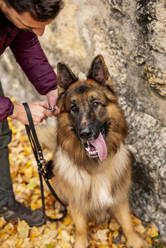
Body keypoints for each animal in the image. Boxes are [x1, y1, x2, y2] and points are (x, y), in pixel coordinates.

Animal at [41, 55, 148, 248]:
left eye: (96, 103)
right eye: (73, 108)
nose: (85, 134)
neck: (97, 169)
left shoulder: (119, 199)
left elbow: (127, 223)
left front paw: (135, 240)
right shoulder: (77, 205)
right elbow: (81, 230)